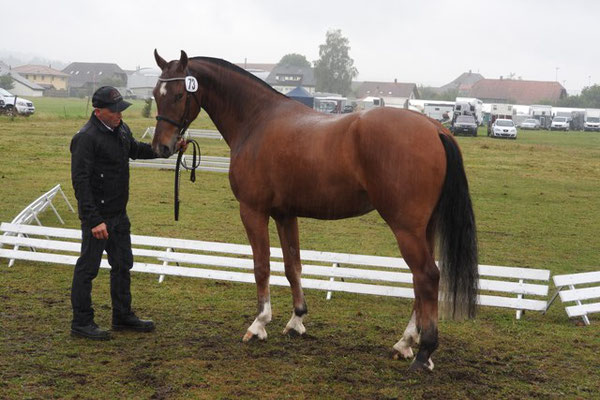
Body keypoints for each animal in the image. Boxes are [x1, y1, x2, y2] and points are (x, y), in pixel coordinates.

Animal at [151, 50, 478, 372]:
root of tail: (435, 129)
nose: (161, 147)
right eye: (156, 93)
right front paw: (296, 319)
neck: (257, 120)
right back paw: (406, 343)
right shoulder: (285, 214)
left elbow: (262, 266)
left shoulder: (253, 210)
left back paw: (424, 352)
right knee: (419, 281)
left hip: (405, 228)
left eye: (179, 94)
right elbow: (292, 266)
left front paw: (259, 324)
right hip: (424, 228)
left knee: (427, 277)